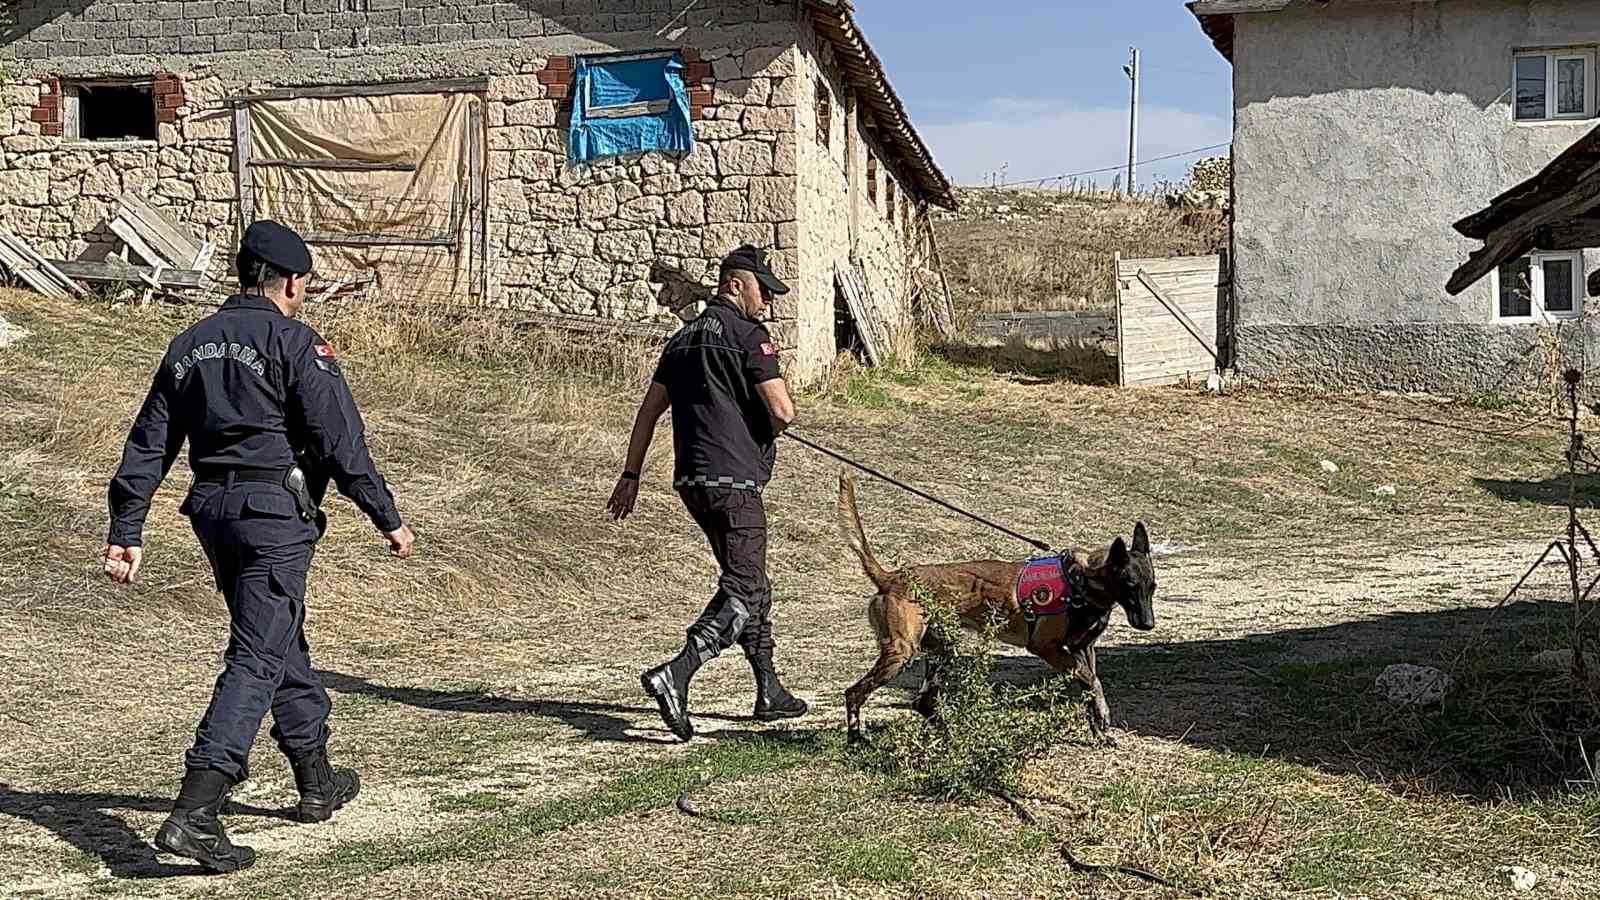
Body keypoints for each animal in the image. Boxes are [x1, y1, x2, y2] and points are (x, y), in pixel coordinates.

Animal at [832, 470, 1158, 743]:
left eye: (1152, 587)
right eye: (1130, 584)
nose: (1148, 624)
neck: (1082, 581)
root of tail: (891, 577)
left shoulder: (1082, 649)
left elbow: (1092, 686)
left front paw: (1100, 728)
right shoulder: (1047, 648)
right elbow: (1092, 682)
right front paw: (1101, 720)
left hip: (944, 650)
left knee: (922, 702)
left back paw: (952, 738)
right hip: (902, 652)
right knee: (854, 693)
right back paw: (856, 739)